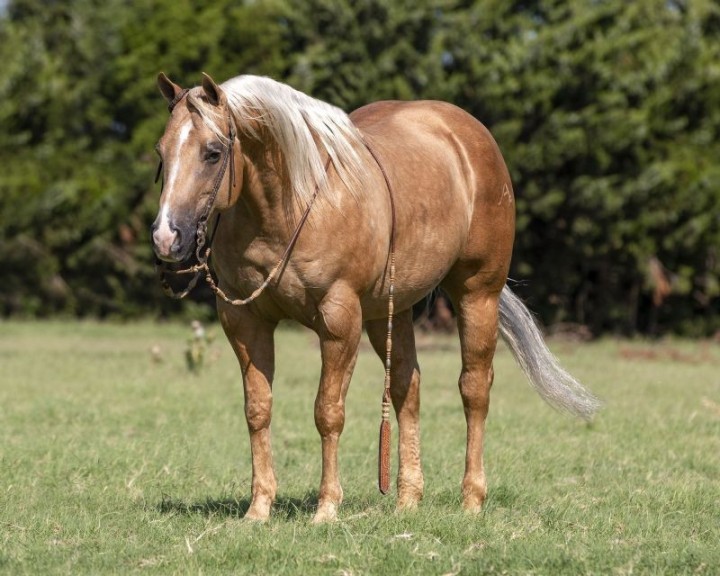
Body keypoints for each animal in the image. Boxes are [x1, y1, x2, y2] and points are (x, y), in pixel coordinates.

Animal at [151, 72, 600, 523]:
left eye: (213, 153)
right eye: (161, 151)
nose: (166, 237)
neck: (290, 206)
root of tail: (469, 135)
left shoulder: (339, 320)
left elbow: (328, 412)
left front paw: (327, 508)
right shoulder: (245, 322)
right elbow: (258, 410)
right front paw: (259, 509)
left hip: (477, 294)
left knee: (474, 389)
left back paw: (472, 499)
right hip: (391, 311)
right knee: (407, 387)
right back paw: (407, 499)